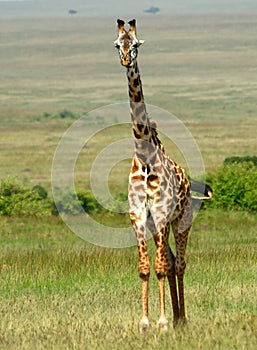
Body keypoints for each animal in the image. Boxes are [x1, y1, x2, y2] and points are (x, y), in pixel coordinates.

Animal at [114, 18, 210, 330]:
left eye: (136, 43)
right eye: (118, 44)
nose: (125, 59)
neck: (144, 156)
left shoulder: (160, 212)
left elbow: (160, 267)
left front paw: (163, 322)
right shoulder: (138, 215)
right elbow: (146, 267)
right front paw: (145, 322)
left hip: (181, 220)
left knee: (178, 263)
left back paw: (181, 317)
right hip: (161, 223)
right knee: (169, 260)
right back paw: (177, 316)